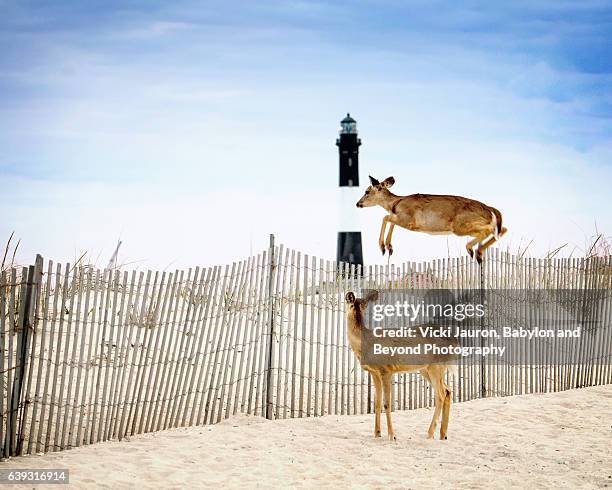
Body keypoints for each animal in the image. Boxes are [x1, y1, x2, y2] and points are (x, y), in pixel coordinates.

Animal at [344, 290, 454, 440]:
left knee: (441, 394)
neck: (366, 343)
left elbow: (386, 403)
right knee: (448, 390)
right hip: (426, 368)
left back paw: (430, 433)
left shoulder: (386, 370)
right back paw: (443, 434)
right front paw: (377, 433)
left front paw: (392, 435)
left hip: (435, 367)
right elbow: (377, 403)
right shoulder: (374, 372)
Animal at [354, 176, 506, 264]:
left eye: (367, 191)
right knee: (501, 229)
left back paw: (472, 250)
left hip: (460, 225)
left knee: (490, 230)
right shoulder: (402, 219)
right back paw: (479, 253)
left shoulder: (409, 220)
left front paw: (383, 247)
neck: (395, 203)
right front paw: (389, 247)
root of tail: (489, 209)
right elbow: (390, 220)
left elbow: (385, 217)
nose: (358, 204)